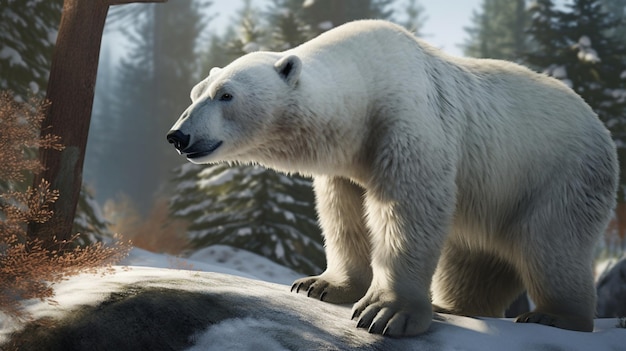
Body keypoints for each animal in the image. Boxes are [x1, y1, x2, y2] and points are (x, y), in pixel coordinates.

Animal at [165, 20, 616, 338]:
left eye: (226, 95)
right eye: (195, 93)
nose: (178, 136)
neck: (366, 87)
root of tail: (600, 126)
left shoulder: (408, 121)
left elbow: (409, 208)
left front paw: (385, 312)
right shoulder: (348, 160)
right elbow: (343, 215)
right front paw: (319, 285)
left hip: (559, 175)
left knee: (551, 245)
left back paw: (555, 316)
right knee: (474, 258)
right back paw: (453, 306)